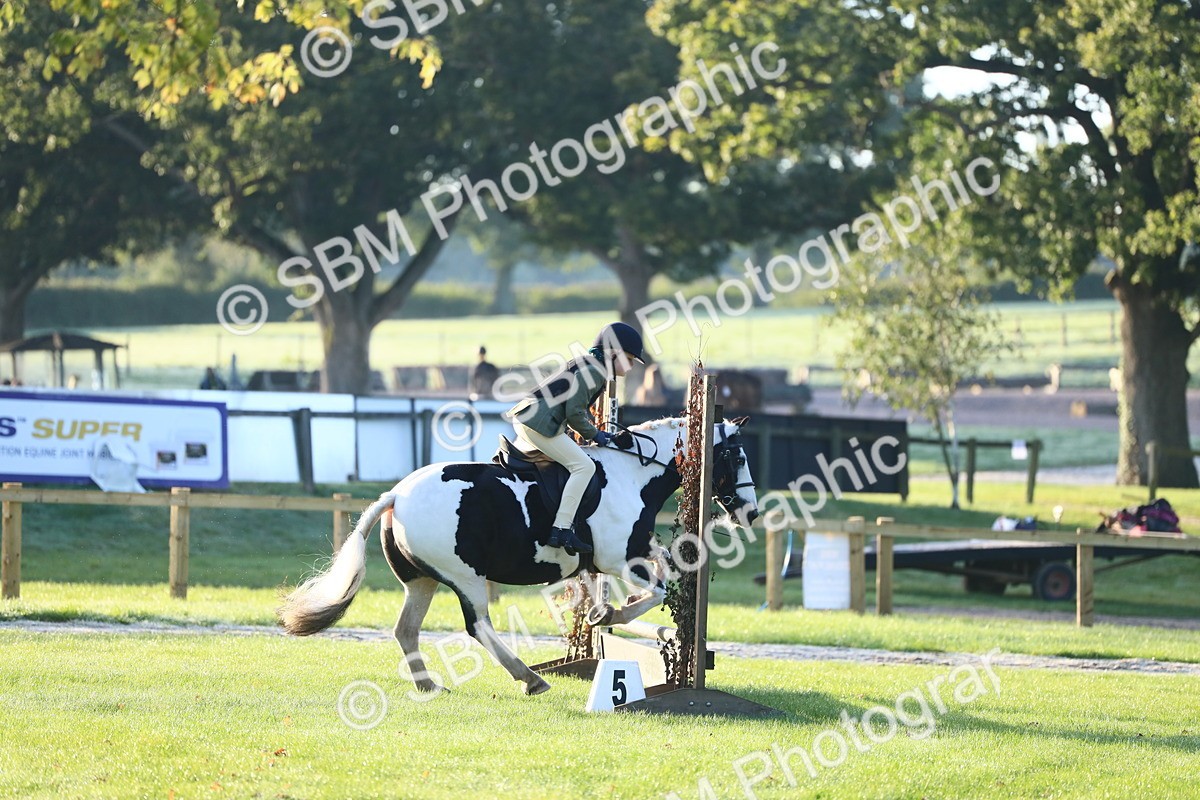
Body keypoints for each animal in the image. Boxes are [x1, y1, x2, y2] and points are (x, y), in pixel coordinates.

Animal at [278, 415, 760, 696]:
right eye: (736, 456)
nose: (750, 512)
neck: (632, 473)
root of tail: (396, 495)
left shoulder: (628, 550)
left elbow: (658, 568)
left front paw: (603, 609)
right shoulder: (619, 557)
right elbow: (658, 590)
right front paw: (611, 615)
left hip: (422, 580)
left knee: (406, 629)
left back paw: (429, 685)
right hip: (466, 577)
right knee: (478, 627)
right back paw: (530, 678)